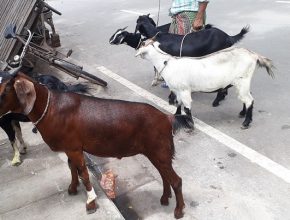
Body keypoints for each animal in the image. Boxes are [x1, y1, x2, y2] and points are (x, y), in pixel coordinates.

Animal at [0, 72, 194, 218]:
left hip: (160, 151)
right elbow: (72, 169)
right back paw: (164, 199)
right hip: (157, 153)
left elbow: (84, 174)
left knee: (176, 180)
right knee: (164, 175)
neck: (51, 108)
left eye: (3, 93)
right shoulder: (71, 148)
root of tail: (167, 118)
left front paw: (91, 203)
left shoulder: (74, 149)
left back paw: (178, 211)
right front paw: (72, 189)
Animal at [136, 40, 274, 128]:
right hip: (242, 83)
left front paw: (190, 124)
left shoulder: (184, 90)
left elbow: (187, 107)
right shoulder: (178, 90)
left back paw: (246, 122)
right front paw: (176, 115)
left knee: (249, 99)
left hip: (243, 80)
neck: (167, 62)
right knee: (246, 98)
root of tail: (254, 55)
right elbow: (179, 103)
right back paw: (242, 113)